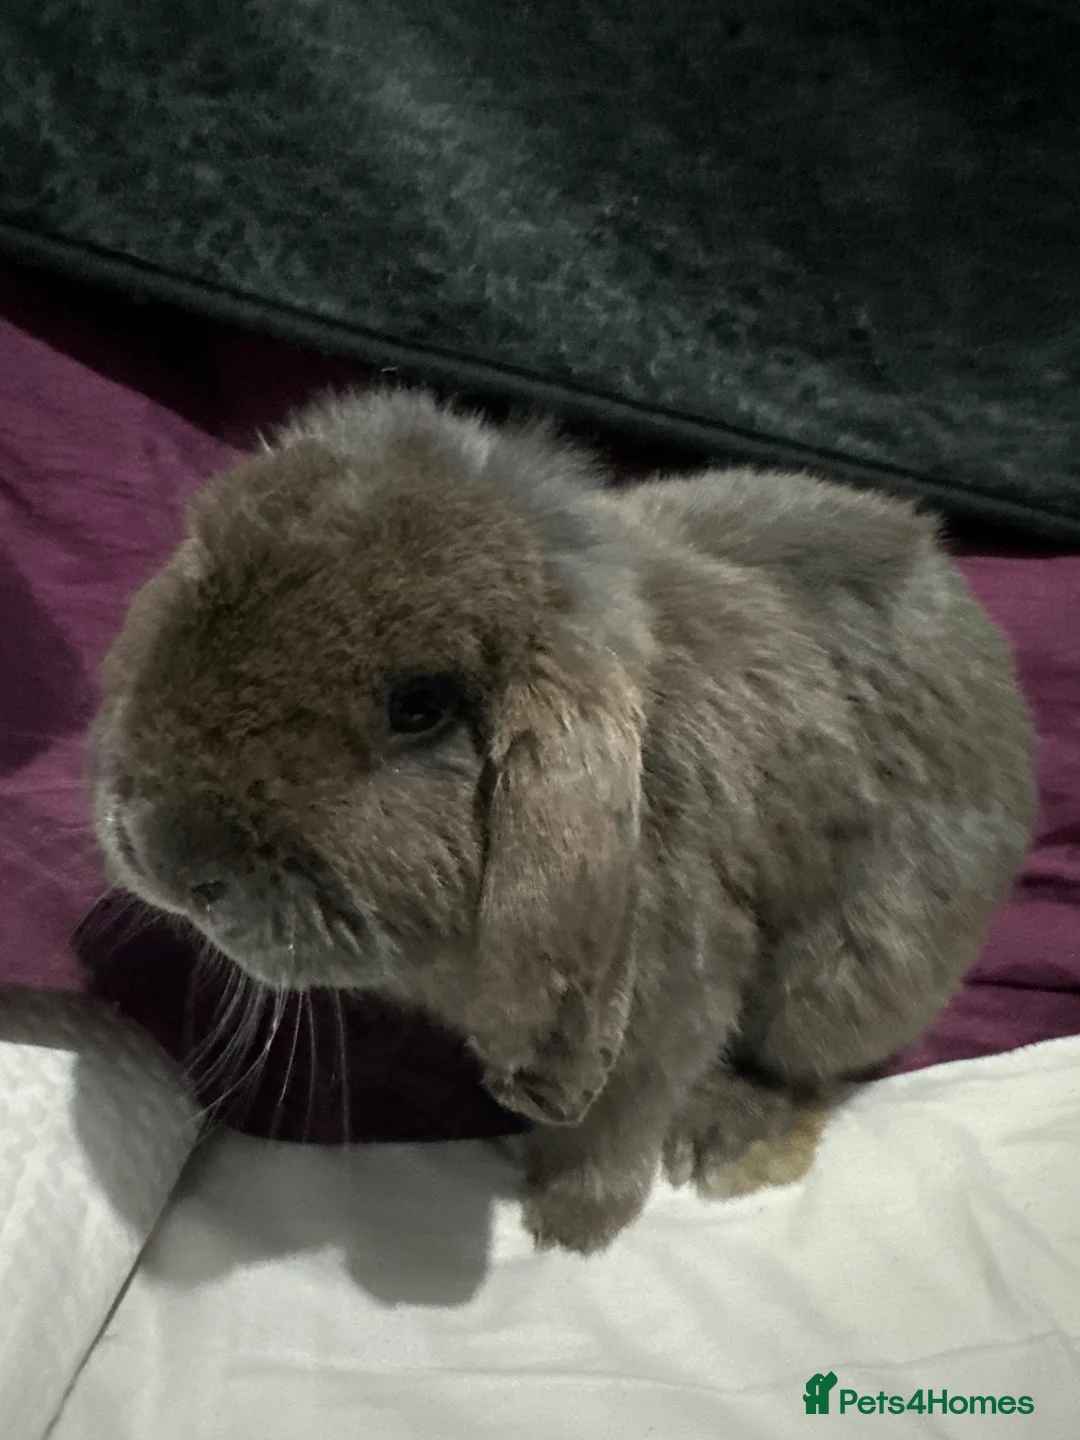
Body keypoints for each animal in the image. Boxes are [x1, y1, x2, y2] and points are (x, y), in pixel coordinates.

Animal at [89, 388, 1035, 1254]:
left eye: (419, 707)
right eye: (193, 586)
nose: (164, 856)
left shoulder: (674, 1000)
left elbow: (621, 1117)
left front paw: (569, 1223)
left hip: (850, 976)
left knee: (808, 1065)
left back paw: (726, 1139)